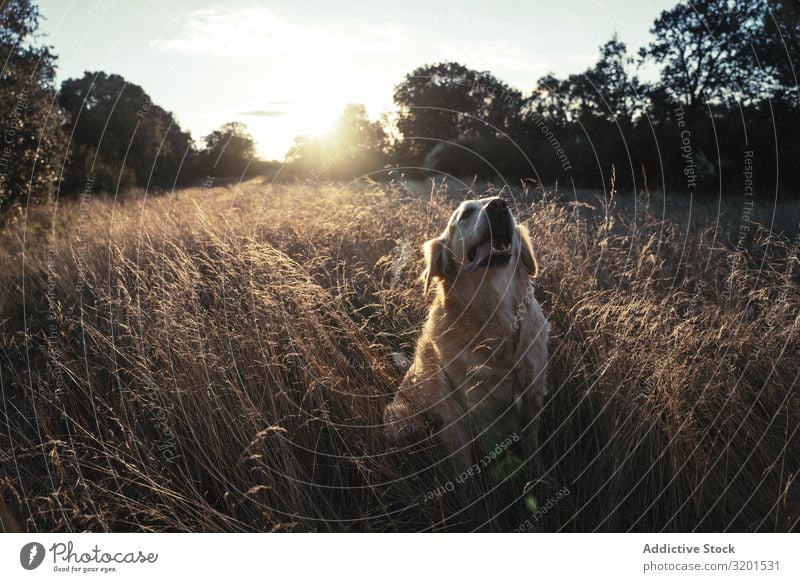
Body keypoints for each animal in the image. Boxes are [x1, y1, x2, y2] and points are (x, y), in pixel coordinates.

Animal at [382, 198, 552, 472]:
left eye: (504, 204)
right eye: (465, 214)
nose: (498, 205)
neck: (494, 315)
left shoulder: (532, 396)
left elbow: (533, 451)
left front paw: (540, 477)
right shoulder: (455, 414)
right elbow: (465, 471)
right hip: (401, 422)